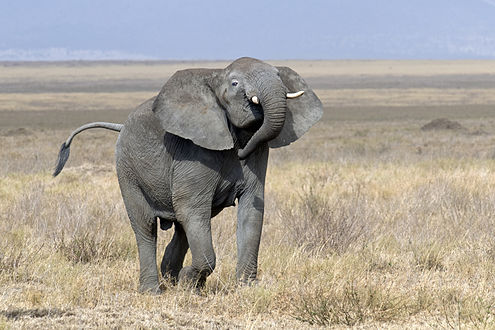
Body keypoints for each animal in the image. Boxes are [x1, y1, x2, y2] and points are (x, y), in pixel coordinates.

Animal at [54, 57, 324, 294]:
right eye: (235, 84)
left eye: (279, 76)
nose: (240, 153)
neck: (215, 76)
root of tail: (122, 126)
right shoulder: (194, 151)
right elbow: (191, 208)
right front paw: (188, 282)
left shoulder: (258, 152)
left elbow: (251, 210)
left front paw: (245, 289)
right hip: (127, 168)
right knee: (146, 226)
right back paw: (154, 290)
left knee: (183, 227)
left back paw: (172, 278)